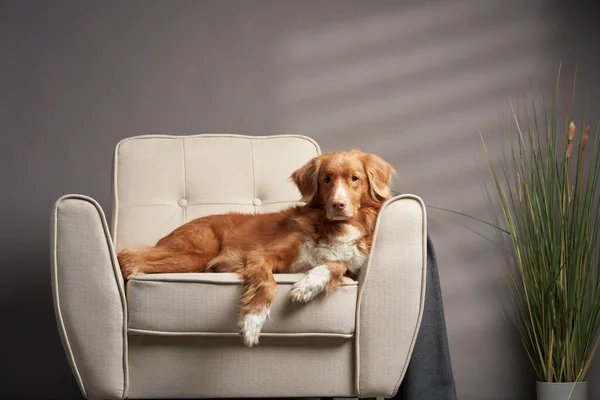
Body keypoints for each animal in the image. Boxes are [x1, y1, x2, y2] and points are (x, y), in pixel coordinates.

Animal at [119, 149, 396, 346]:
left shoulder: (349, 266)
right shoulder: (260, 254)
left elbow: (336, 264)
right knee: (130, 260)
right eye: (327, 179)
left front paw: (307, 286)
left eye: (355, 179)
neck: (332, 226)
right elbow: (267, 283)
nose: (338, 204)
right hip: (195, 256)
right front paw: (253, 322)